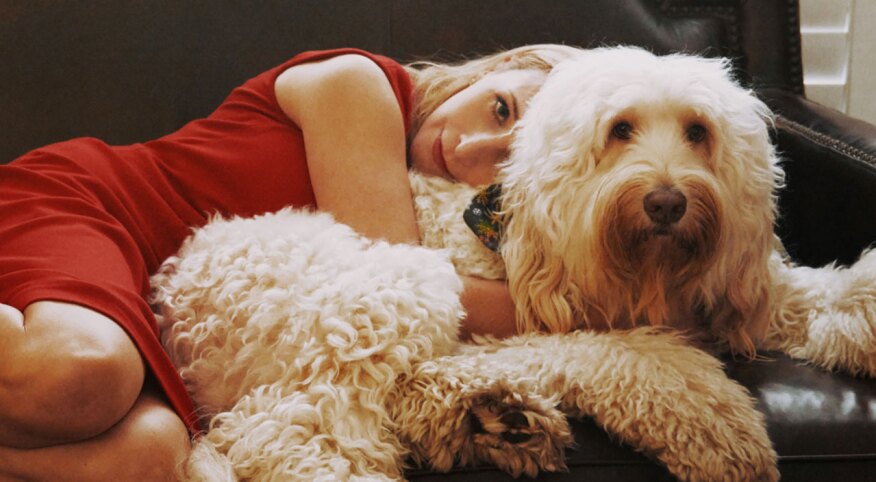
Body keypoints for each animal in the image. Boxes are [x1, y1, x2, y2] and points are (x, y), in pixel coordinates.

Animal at [152, 47, 876, 482]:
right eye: (621, 129)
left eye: (699, 131)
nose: (667, 200)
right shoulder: (532, 316)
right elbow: (626, 356)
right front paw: (713, 421)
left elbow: (792, 294)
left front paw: (859, 312)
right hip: (380, 295)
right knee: (292, 422)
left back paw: (490, 416)